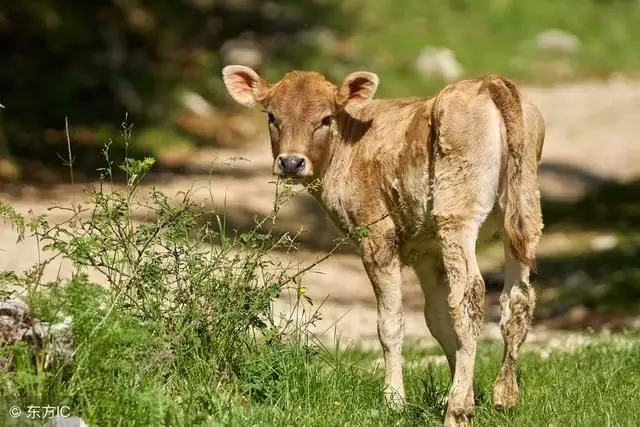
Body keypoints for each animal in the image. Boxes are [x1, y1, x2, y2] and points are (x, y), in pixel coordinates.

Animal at [221, 65, 544, 426]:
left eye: (326, 118)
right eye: (272, 116)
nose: (291, 163)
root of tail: (487, 82)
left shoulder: (377, 236)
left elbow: (391, 323)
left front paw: (395, 401)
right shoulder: (427, 250)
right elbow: (437, 321)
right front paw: (459, 390)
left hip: (457, 212)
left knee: (469, 298)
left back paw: (458, 411)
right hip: (525, 208)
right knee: (516, 300)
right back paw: (505, 397)